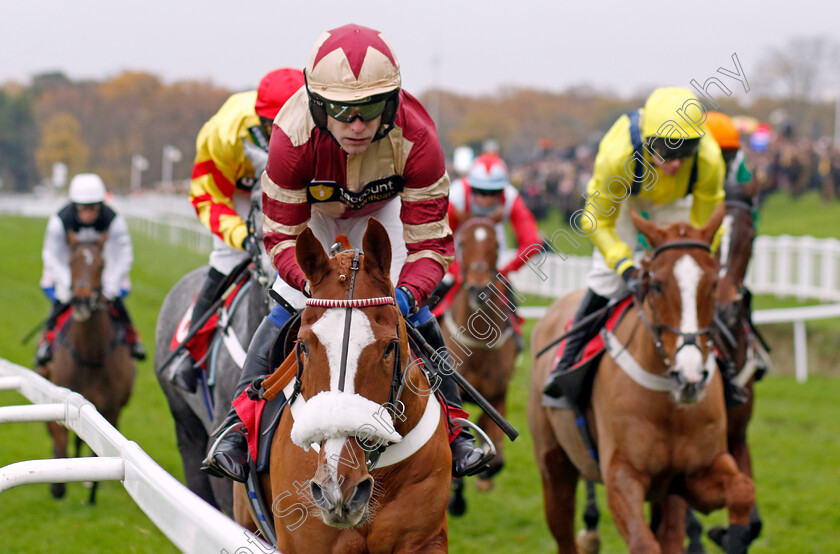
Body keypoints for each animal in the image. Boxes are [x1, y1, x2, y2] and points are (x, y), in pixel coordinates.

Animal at [39, 232, 135, 500]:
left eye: (101, 265)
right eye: (71, 262)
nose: (82, 300)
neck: (91, 356)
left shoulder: (110, 410)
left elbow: (97, 452)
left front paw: (91, 489)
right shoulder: (59, 397)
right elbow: (59, 439)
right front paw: (57, 486)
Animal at [532, 207, 756, 552]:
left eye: (712, 283)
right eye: (658, 285)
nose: (690, 375)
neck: (668, 400)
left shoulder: (694, 473)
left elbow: (743, 490)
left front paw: (733, 536)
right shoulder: (621, 474)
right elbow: (643, 542)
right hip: (554, 466)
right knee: (564, 533)